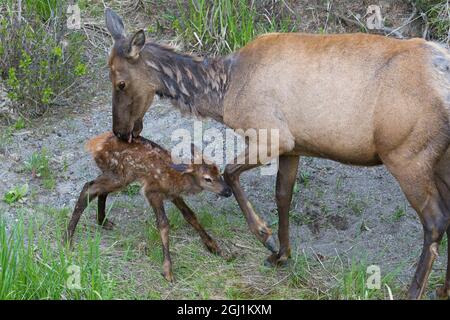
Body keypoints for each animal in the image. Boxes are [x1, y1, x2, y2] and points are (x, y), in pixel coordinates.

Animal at [65, 131, 232, 282]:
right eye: (207, 179)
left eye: (219, 171)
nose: (228, 191)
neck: (176, 180)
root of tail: (95, 143)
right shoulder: (152, 191)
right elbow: (163, 224)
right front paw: (168, 271)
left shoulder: (173, 195)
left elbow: (190, 216)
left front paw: (216, 248)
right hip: (121, 174)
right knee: (88, 188)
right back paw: (68, 239)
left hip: (117, 175)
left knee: (99, 190)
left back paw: (103, 222)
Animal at [103, 8, 450, 298]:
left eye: (120, 83)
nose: (121, 132)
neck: (224, 93)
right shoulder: (295, 145)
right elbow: (283, 195)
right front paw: (282, 254)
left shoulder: (271, 135)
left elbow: (230, 172)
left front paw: (264, 236)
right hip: (438, 158)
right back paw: (441, 289)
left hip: (407, 153)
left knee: (435, 220)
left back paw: (414, 291)